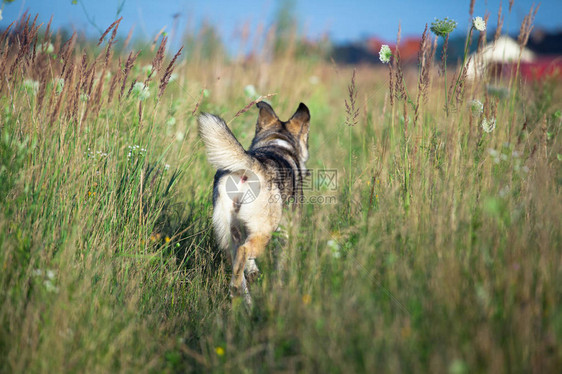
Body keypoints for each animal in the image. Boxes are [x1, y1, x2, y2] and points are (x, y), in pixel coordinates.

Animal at [198, 101, 310, 306]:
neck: (277, 143)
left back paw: (244, 297)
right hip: (264, 232)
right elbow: (281, 264)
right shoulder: (286, 233)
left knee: (237, 260)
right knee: (243, 251)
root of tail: (249, 167)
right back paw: (240, 291)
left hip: (229, 233)